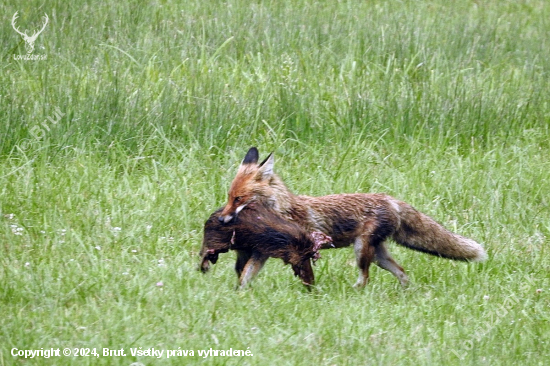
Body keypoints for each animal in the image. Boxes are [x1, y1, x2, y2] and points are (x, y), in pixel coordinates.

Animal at [219, 147, 488, 288]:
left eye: (239, 199)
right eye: (229, 197)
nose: (221, 220)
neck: (283, 210)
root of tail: (390, 199)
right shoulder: (261, 252)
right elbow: (245, 276)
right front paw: (239, 297)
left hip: (361, 250)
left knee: (366, 278)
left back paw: (353, 293)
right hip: (378, 255)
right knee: (401, 272)